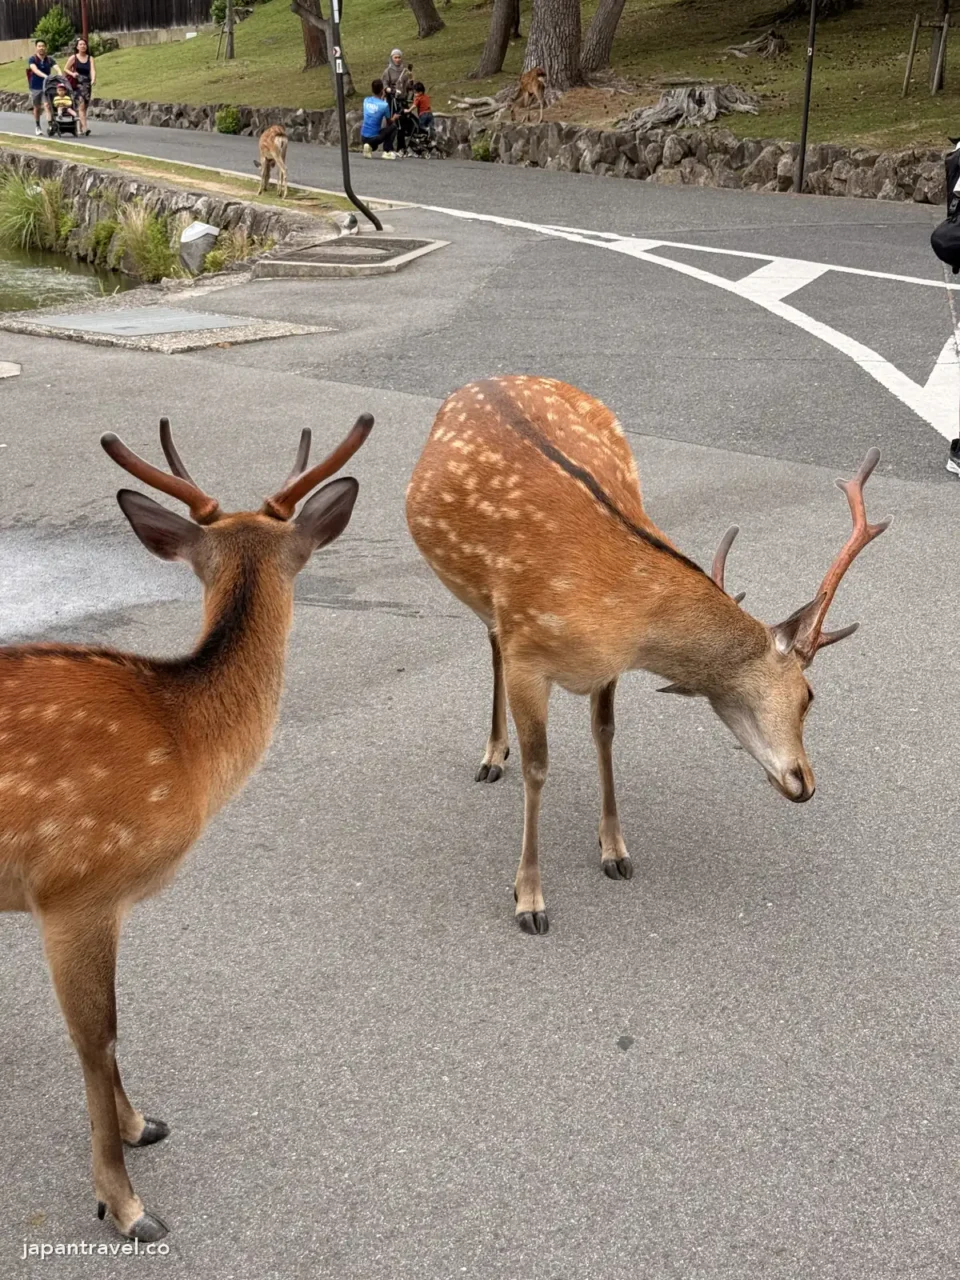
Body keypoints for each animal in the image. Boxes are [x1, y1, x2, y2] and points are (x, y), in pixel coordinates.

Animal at [0, 412, 373, 1239]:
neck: (183, 742)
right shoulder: (75, 885)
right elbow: (97, 1036)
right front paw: (125, 1202)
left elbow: (107, 1034)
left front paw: (143, 1127)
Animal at [405, 376, 890, 936]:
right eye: (810, 696)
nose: (805, 782)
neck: (621, 617)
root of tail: (480, 382)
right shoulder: (526, 651)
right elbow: (538, 768)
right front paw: (529, 898)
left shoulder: (607, 666)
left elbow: (605, 735)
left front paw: (614, 850)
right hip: (489, 605)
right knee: (492, 650)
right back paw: (491, 755)